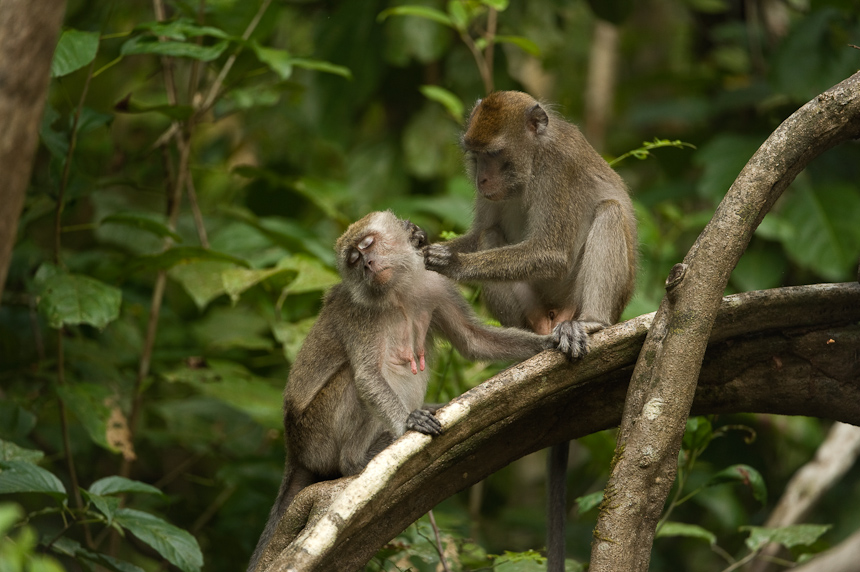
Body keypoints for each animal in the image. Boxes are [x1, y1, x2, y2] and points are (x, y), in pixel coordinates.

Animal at [245, 211, 576, 572]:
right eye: (353, 259)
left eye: (367, 244)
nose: (367, 264)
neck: (398, 291)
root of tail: (293, 446)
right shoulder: (358, 312)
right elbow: (367, 375)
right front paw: (409, 423)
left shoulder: (438, 286)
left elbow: (473, 340)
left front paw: (550, 341)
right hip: (317, 435)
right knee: (353, 380)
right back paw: (357, 459)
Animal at [424, 90, 640, 572]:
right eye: (475, 156)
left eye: (495, 155)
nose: (482, 178)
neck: (530, 164)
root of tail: (559, 315)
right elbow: (481, 233)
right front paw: (429, 249)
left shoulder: (558, 171)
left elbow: (552, 250)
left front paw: (452, 263)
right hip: (535, 312)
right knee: (493, 236)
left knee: (609, 212)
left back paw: (592, 323)